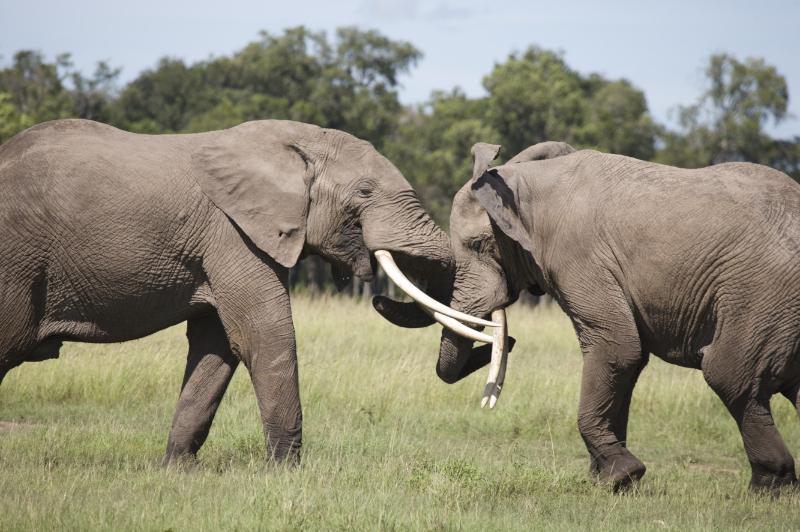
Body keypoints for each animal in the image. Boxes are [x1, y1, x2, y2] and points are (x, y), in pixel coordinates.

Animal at [0, 119, 454, 466]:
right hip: (17, 262)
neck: (295, 140)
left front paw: (178, 471)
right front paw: (284, 473)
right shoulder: (232, 234)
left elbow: (216, 345)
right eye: (364, 191)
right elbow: (264, 336)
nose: (376, 297)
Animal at [372, 140, 800, 490]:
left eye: (478, 245)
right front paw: (606, 480)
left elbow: (617, 347)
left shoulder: (579, 256)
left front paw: (622, 475)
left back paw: (769, 488)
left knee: (729, 374)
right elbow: (628, 360)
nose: (507, 338)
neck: (523, 184)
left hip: (759, 293)